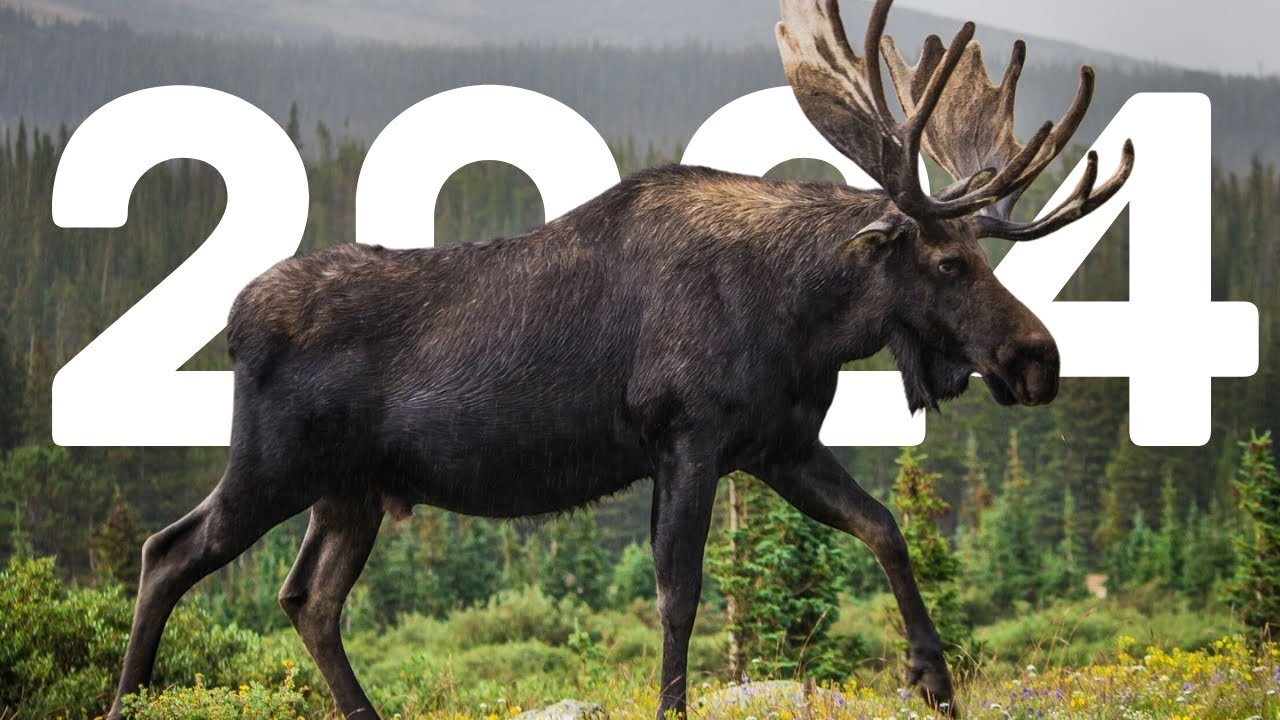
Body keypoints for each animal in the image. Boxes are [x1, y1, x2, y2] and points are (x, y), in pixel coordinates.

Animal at [107, 0, 1133, 717]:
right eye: (951, 262)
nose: (1038, 360)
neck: (802, 316)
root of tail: (234, 318)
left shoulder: (780, 447)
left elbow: (884, 527)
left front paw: (932, 677)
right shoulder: (687, 439)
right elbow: (680, 593)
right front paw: (675, 704)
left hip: (350, 491)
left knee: (307, 599)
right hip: (274, 465)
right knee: (169, 551)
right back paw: (126, 698)